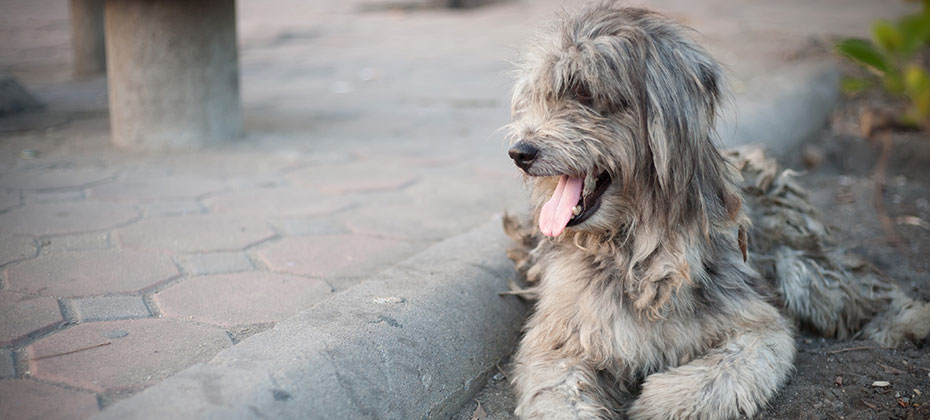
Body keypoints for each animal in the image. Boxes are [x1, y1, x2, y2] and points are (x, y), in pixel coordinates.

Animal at [500, 2, 928, 416]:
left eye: (585, 93)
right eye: (540, 96)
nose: (520, 153)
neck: (639, 252)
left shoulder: (756, 324)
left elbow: (726, 370)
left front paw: (660, 400)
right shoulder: (561, 338)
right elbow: (557, 394)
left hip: (805, 269)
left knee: (867, 286)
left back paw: (909, 320)